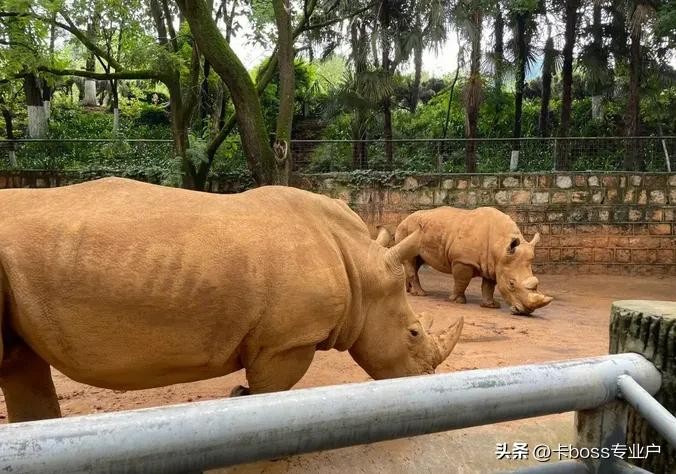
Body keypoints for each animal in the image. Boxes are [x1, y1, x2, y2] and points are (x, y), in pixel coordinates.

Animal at [0, 178, 463, 422]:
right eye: (414, 333)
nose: (425, 381)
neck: (361, 271)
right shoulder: (286, 342)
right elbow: (267, 395)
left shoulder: (279, 340)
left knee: (21, 361)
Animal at [394, 207, 553, 315]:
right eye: (511, 284)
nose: (525, 312)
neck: (500, 246)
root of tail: (403, 219)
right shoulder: (463, 261)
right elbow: (461, 281)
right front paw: (457, 301)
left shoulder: (494, 265)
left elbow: (489, 286)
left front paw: (491, 305)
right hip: (405, 230)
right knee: (411, 260)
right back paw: (421, 294)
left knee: (417, 262)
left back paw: (410, 292)